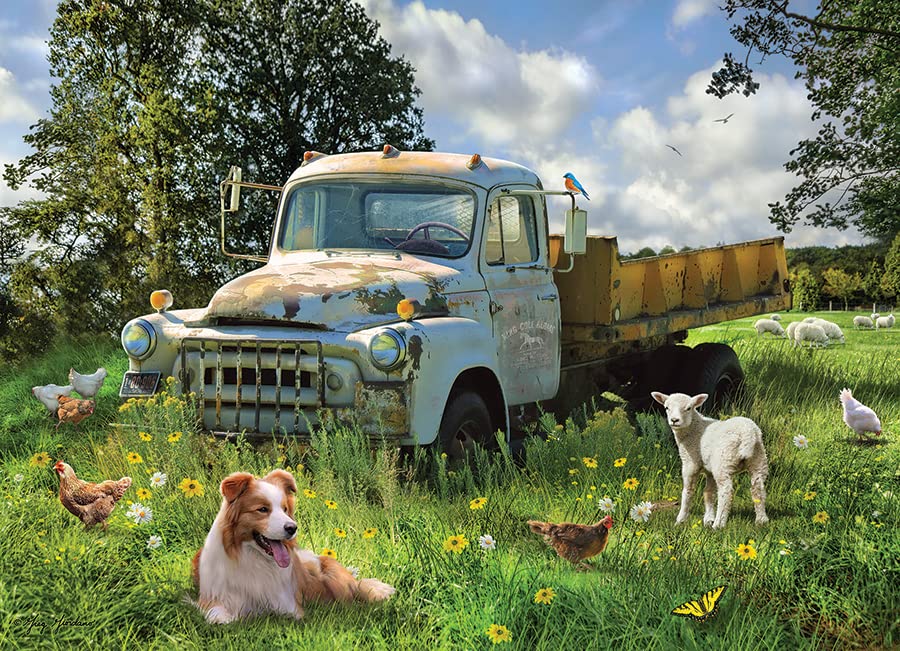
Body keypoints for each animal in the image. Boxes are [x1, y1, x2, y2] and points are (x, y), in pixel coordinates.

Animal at [651, 392, 768, 529]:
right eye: (666, 408)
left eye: (689, 408)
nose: (674, 420)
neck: (694, 428)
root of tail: (748, 433)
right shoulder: (709, 470)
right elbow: (708, 493)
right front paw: (708, 519)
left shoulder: (690, 463)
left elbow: (688, 491)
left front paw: (681, 519)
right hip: (758, 459)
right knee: (758, 488)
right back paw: (761, 520)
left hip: (723, 461)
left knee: (725, 491)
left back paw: (719, 524)